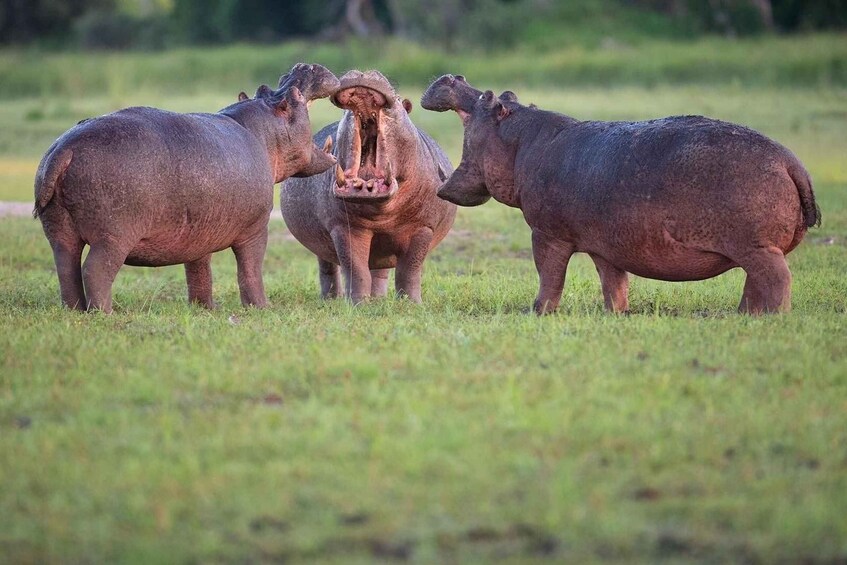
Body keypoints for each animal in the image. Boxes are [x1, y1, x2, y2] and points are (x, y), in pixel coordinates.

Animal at [35, 66, 342, 316]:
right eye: (294, 95)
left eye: (265, 88)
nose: (304, 65)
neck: (265, 129)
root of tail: (65, 149)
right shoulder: (256, 227)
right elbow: (250, 268)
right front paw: (262, 308)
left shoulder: (200, 230)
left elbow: (199, 270)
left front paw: (205, 308)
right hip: (113, 235)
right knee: (95, 270)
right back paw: (105, 314)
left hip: (60, 231)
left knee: (66, 267)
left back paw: (74, 311)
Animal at [282, 71, 458, 304]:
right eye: (346, 114)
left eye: (399, 99)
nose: (363, 72)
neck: (382, 213)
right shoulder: (344, 227)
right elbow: (355, 269)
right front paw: (358, 304)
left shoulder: (423, 227)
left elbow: (409, 269)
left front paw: (411, 304)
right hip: (322, 243)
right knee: (328, 268)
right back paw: (332, 299)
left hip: (383, 247)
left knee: (380, 271)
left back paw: (379, 299)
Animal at [424, 74, 820, 318]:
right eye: (506, 95)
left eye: (490, 98)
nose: (453, 77)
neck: (521, 139)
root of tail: (790, 160)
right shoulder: (606, 247)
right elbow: (613, 282)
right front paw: (617, 314)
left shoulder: (547, 234)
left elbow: (549, 274)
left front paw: (537, 312)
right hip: (752, 250)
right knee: (757, 284)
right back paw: (744, 315)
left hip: (757, 247)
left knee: (778, 280)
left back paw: (770, 318)